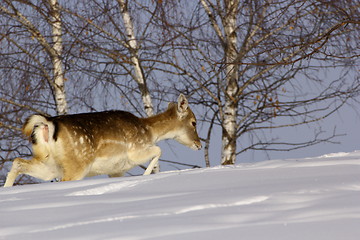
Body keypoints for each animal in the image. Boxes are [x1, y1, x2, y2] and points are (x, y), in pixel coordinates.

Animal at [4, 94, 201, 188]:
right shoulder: (135, 151)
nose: (199, 144)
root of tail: (46, 124)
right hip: (77, 164)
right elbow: (159, 150)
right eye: (194, 122)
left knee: (18, 161)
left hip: (49, 164)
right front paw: (146, 176)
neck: (149, 131)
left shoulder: (116, 170)